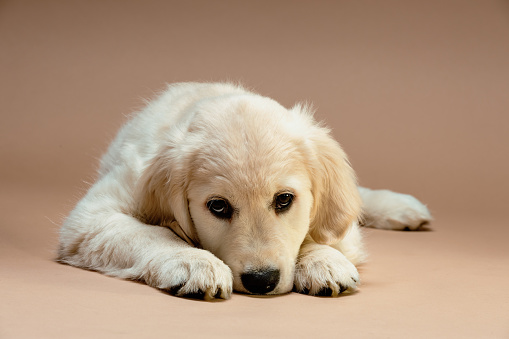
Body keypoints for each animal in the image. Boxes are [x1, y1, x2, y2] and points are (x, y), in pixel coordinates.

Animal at [57, 82, 430, 300]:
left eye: (284, 199)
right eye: (218, 207)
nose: (261, 281)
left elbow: (316, 233)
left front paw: (323, 261)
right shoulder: (89, 219)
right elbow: (153, 233)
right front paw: (194, 261)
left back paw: (403, 208)